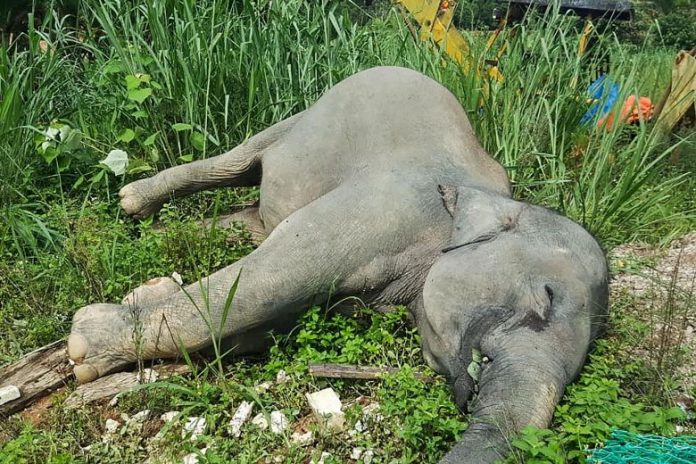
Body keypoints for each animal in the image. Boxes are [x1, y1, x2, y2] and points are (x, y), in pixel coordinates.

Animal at [66, 66, 609, 463]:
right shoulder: (388, 210)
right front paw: (82, 346)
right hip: (310, 112)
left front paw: (137, 302)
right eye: (545, 297)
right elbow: (269, 280)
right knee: (241, 160)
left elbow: (272, 321)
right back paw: (132, 202)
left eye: (581, 366)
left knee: (252, 217)